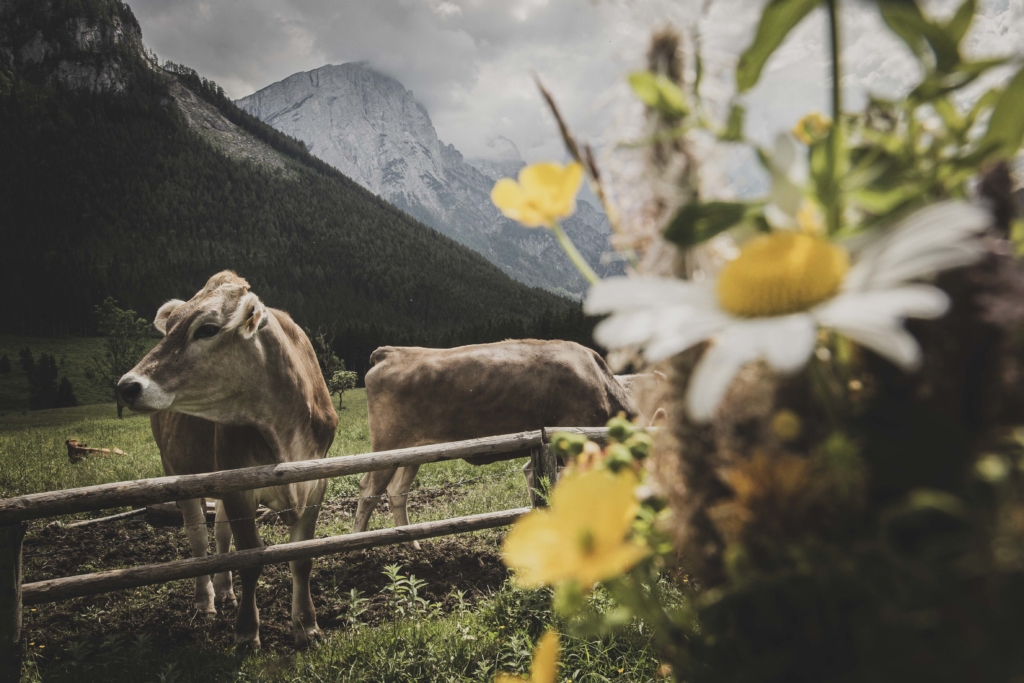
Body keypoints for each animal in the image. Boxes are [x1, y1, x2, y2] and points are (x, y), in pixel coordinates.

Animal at [116, 270, 337, 647]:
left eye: (207, 329)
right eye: (170, 325)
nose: (127, 386)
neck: (284, 427)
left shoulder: (314, 482)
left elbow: (302, 558)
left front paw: (306, 625)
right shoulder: (238, 486)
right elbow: (249, 558)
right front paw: (247, 632)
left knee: (219, 533)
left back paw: (224, 591)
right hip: (179, 472)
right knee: (198, 540)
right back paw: (205, 600)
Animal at [356, 339, 634, 548]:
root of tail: (391, 352)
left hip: (412, 452)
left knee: (396, 491)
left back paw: (411, 544)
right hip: (388, 444)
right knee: (368, 489)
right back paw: (357, 548)